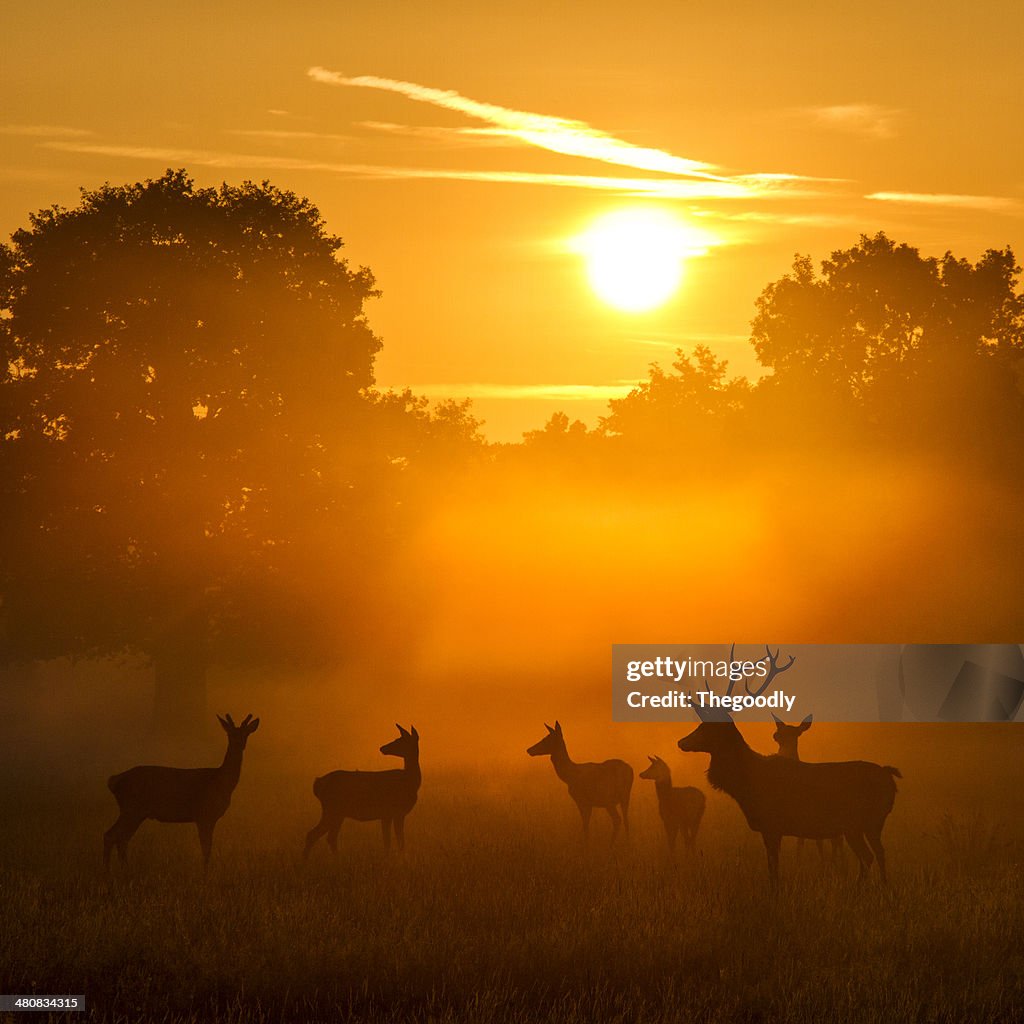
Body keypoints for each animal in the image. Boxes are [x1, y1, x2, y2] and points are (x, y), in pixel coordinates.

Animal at [103, 712, 260, 872]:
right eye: (230, 734)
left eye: (245, 733)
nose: (239, 743)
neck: (221, 782)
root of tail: (114, 780)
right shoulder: (204, 815)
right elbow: (206, 849)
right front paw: (205, 873)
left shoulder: (207, 818)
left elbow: (207, 848)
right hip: (132, 808)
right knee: (111, 835)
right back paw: (108, 871)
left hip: (136, 812)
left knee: (122, 839)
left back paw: (124, 869)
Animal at [303, 724, 419, 860]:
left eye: (400, 740)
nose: (382, 748)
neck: (410, 782)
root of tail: (317, 784)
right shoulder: (393, 812)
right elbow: (395, 841)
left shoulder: (390, 814)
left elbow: (391, 841)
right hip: (333, 809)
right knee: (316, 835)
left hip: (337, 813)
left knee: (326, 837)